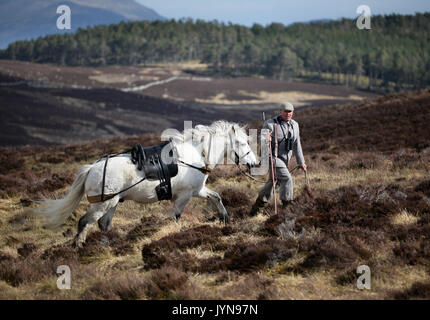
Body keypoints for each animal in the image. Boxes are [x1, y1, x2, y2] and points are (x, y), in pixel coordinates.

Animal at [33, 120, 256, 248]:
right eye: (241, 143)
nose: (254, 163)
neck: (194, 154)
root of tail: (92, 168)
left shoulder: (197, 190)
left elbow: (216, 197)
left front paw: (225, 219)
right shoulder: (184, 196)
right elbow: (175, 216)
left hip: (112, 203)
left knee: (103, 224)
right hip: (102, 204)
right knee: (85, 222)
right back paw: (78, 247)